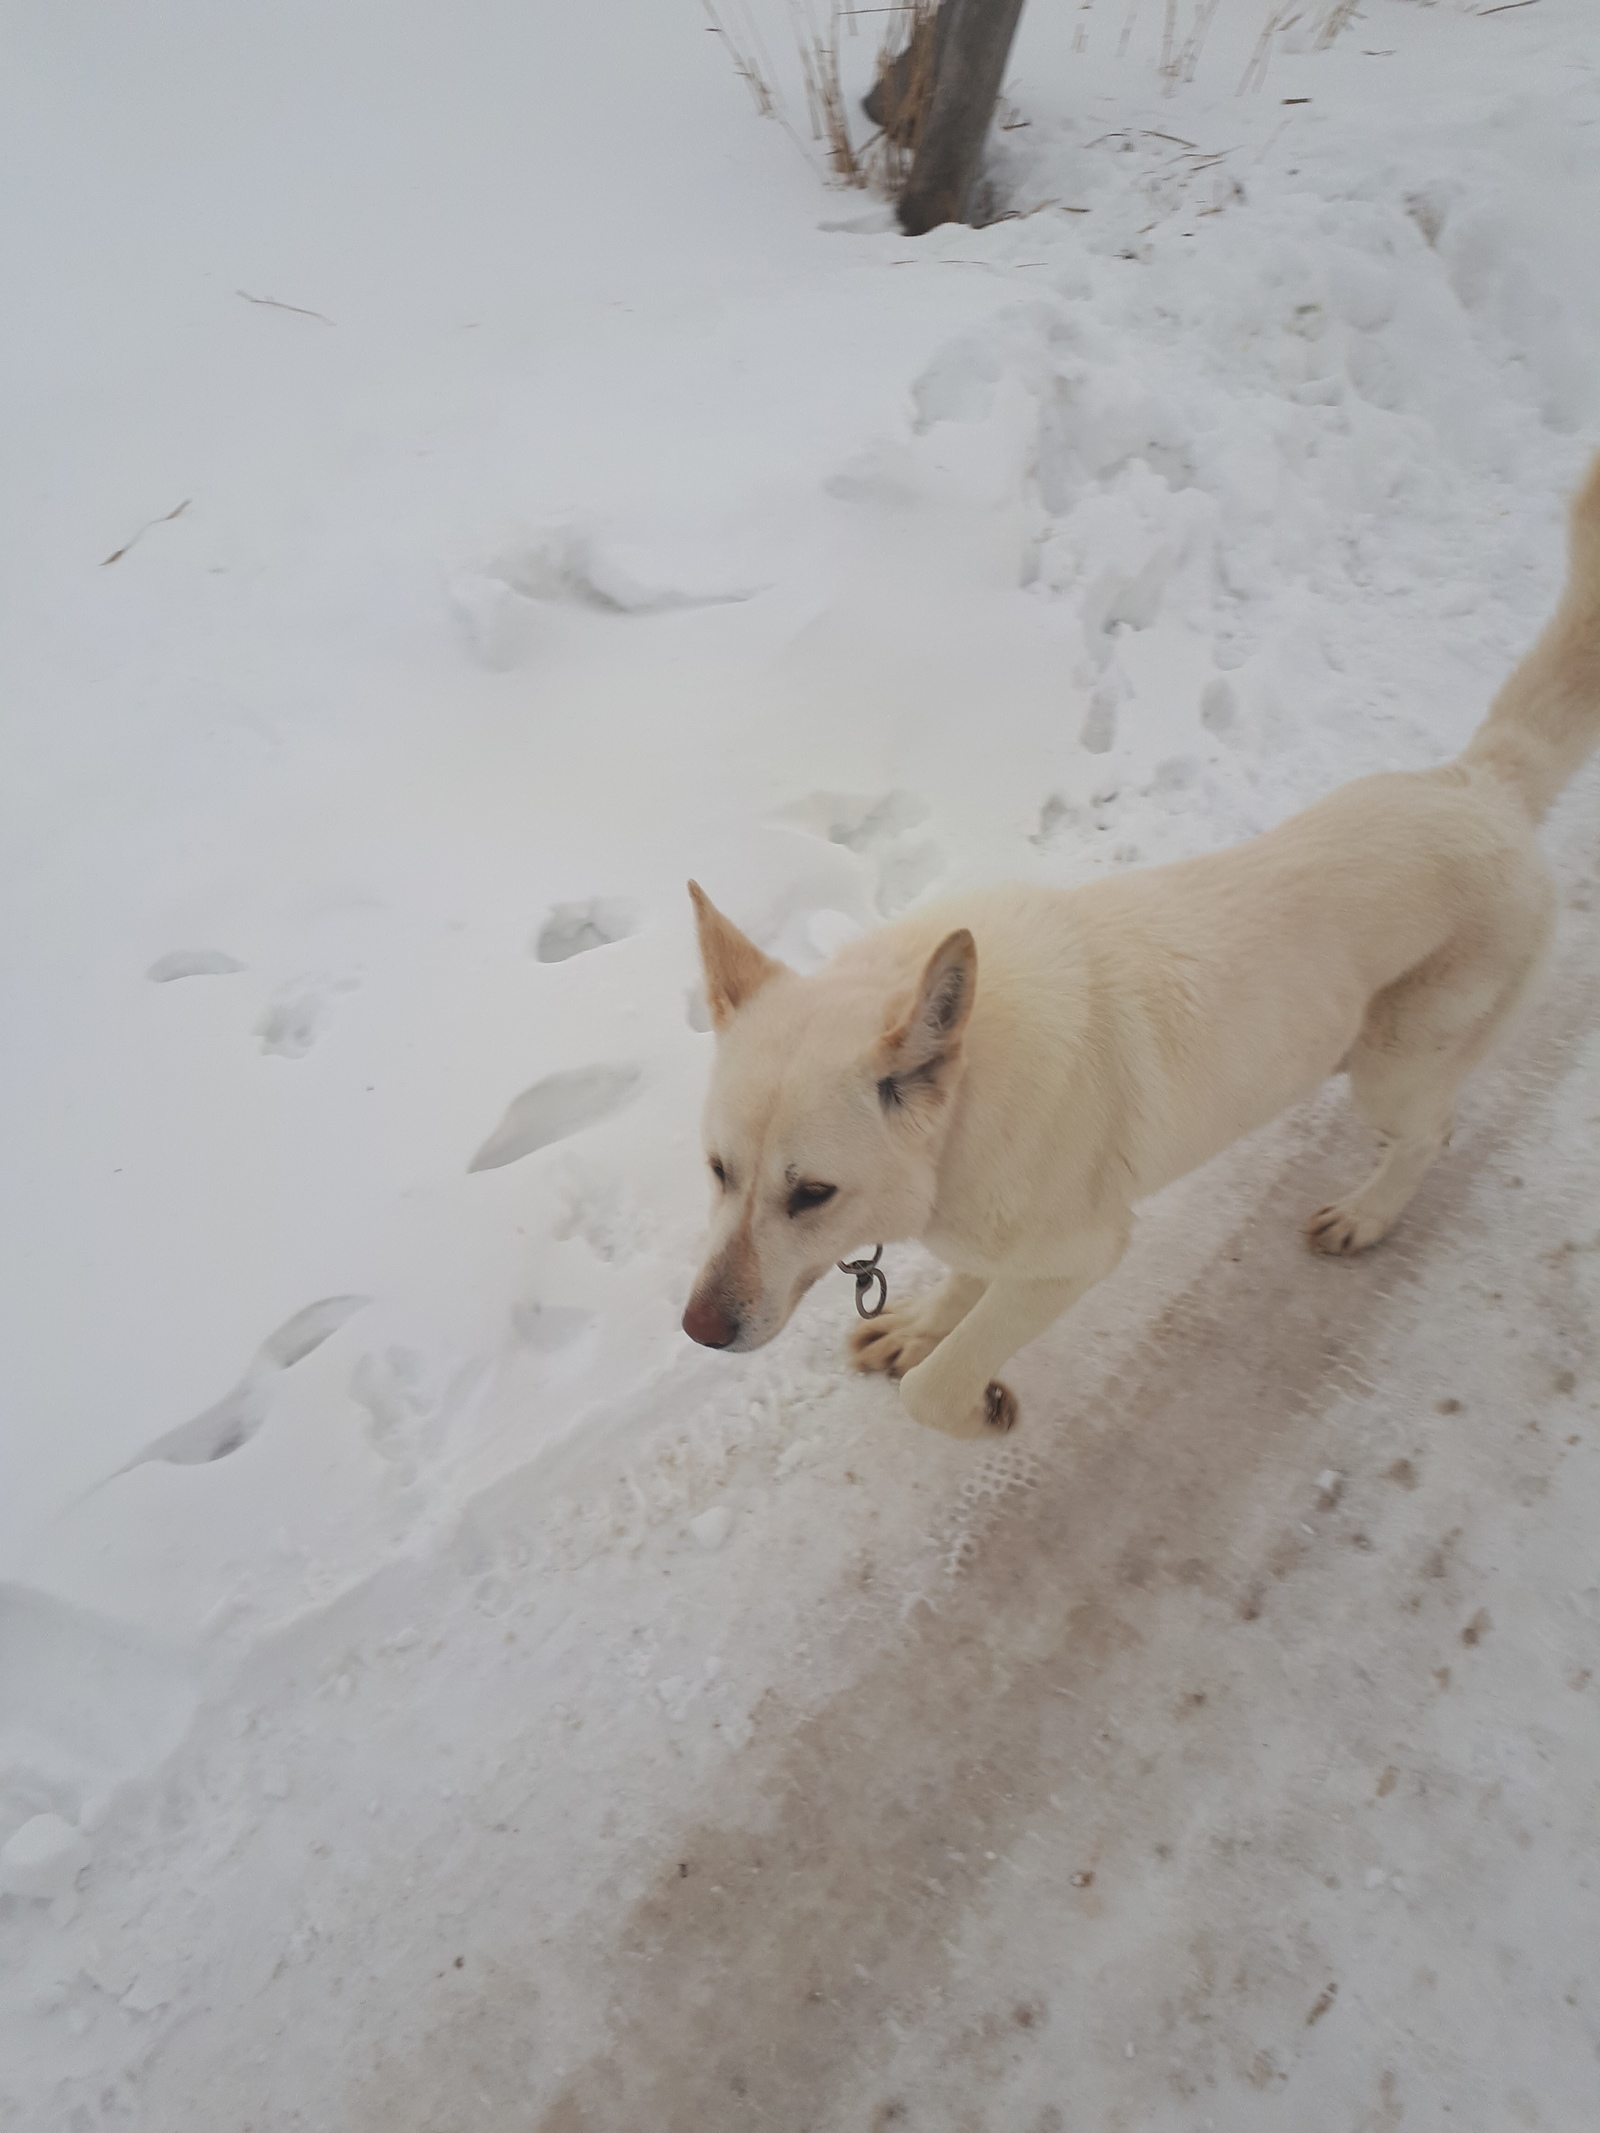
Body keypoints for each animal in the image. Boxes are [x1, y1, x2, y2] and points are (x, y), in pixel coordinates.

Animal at [686, 458, 1600, 1441]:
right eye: (718, 1170)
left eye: (811, 1193)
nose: (698, 1329)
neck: (966, 1109)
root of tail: (1483, 786)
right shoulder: (993, 1236)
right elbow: (967, 1284)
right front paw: (924, 1325)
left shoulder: (1083, 1255)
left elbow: (933, 1389)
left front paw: (980, 1401)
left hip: (1392, 1067)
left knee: (1433, 1130)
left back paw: (1370, 1214)